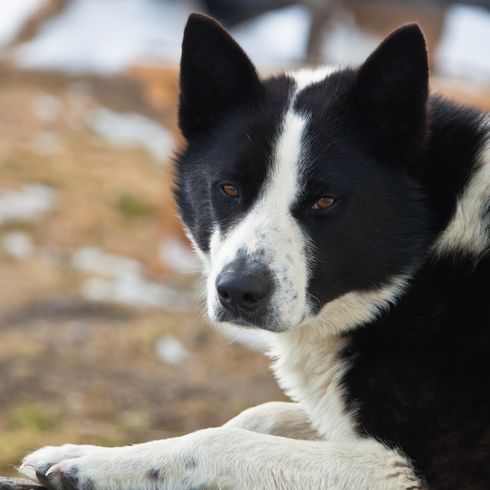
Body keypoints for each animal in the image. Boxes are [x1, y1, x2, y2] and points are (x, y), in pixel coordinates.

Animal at [20, 13, 490, 490]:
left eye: (325, 201)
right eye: (229, 189)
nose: (238, 292)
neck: (427, 257)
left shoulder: (407, 468)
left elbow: (216, 440)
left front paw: (96, 462)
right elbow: (258, 415)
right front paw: (83, 450)